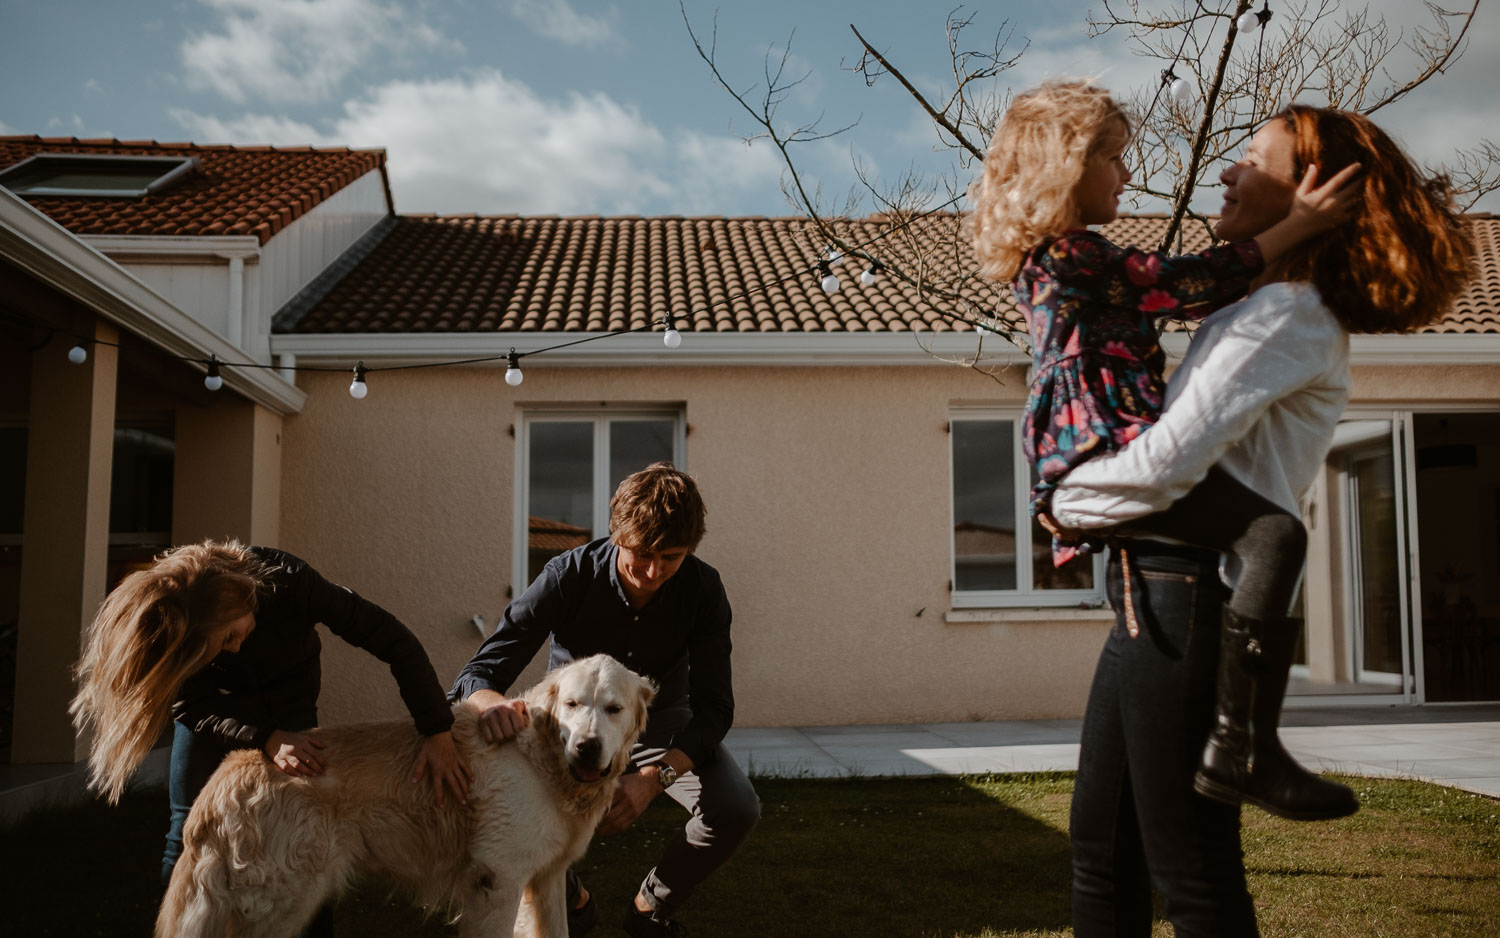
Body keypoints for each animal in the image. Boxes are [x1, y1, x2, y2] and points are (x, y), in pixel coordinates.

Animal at [155, 654, 654, 930]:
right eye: (572, 704)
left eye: (613, 709)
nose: (587, 747)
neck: (545, 761)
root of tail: (222, 780)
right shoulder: (496, 881)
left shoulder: (546, 879)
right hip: (287, 900)